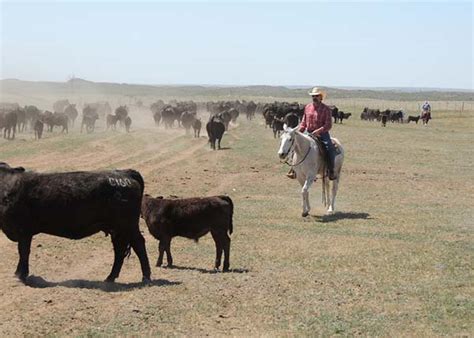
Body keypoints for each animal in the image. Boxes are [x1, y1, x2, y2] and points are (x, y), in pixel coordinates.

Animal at [0, 163, 151, 282]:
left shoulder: (23, 231)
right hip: (117, 229)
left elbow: (23, 252)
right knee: (120, 249)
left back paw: (146, 277)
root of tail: (124, 173)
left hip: (127, 226)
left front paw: (20, 274)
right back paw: (110, 277)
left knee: (138, 244)